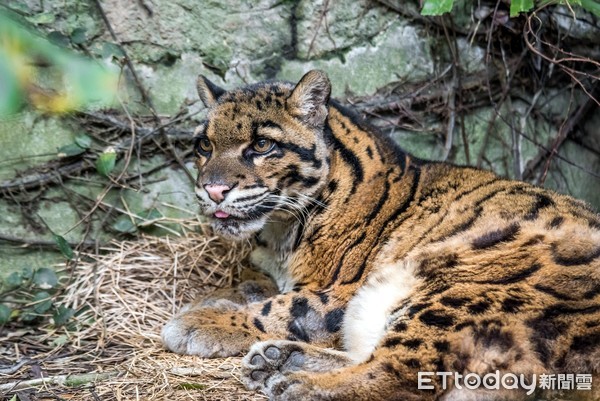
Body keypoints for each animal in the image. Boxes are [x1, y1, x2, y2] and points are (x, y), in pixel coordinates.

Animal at [161, 70, 600, 398]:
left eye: (262, 144)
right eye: (204, 145)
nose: (212, 190)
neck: (279, 230)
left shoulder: (339, 293)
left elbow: (284, 307)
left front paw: (198, 320)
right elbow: (251, 286)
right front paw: (210, 299)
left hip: (459, 284)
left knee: (402, 372)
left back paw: (297, 383)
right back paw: (278, 360)